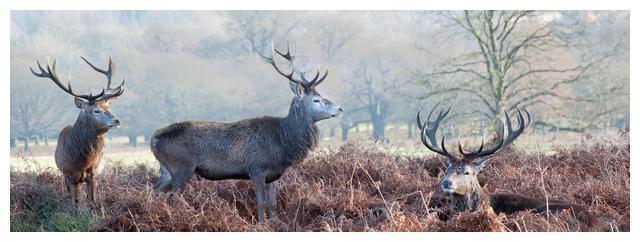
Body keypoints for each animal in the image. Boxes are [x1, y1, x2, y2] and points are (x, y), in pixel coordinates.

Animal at [29, 56, 125, 208]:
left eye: (107, 107)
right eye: (96, 110)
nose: (117, 120)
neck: (81, 161)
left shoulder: (93, 173)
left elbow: (92, 201)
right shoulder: (68, 174)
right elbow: (74, 203)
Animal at [150, 42, 342, 222]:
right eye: (316, 100)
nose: (340, 108)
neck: (282, 141)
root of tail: (154, 140)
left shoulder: (274, 174)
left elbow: (273, 203)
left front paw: (274, 223)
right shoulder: (256, 168)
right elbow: (261, 202)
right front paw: (261, 224)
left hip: (166, 169)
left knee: (156, 191)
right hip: (182, 166)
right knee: (172, 197)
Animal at [416, 105, 600, 230]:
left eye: (467, 172)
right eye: (447, 170)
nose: (447, 183)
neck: (484, 202)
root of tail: (595, 220)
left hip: (549, 212)